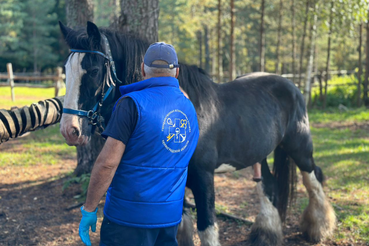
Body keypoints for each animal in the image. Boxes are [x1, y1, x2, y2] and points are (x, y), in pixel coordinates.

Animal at [59, 21, 334, 246]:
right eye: (66, 71)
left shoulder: (204, 178)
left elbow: (207, 228)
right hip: (260, 153)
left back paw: (319, 229)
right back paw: (266, 235)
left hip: (299, 146)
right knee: (269, 186)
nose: (70, 129)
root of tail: (290, 85)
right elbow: (180, 226)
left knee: (314, 179)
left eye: (94, 71)